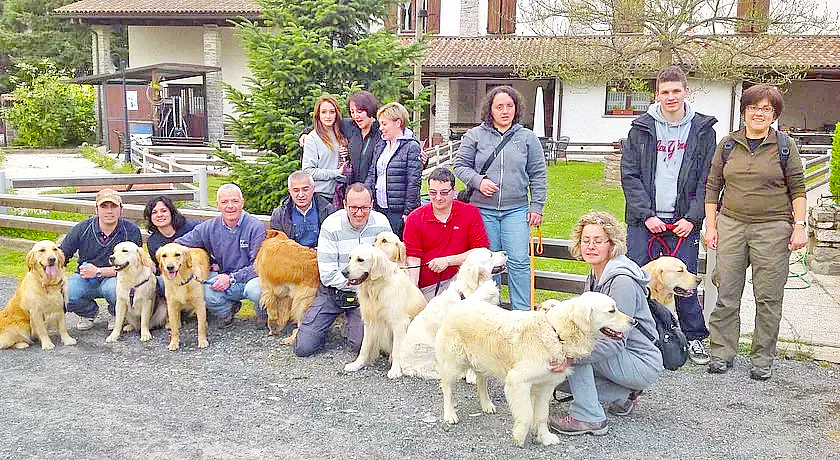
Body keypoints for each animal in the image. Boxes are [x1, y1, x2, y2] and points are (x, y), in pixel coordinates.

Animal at [342, 243, 426, 380]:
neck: (376, 288)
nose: (343, 272)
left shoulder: (399, 324)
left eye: (360, 260)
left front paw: (395, 370)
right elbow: (364, 347)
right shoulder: (369, 323)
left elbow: (397, 349)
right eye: (350, 258)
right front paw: (357, 364)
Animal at [434, 292, 632, 446]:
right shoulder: (517, 381)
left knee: (481, 381)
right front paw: (520, 436)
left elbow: (542, 414)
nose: (634, 322)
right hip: (453, 363)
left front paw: (544, 437)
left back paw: (487, 405)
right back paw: (450, 414)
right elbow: (527, 414)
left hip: (483, 360)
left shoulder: (546, 386)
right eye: (612, 310)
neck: (557, 334)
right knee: (447, 389)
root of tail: (461, 303)